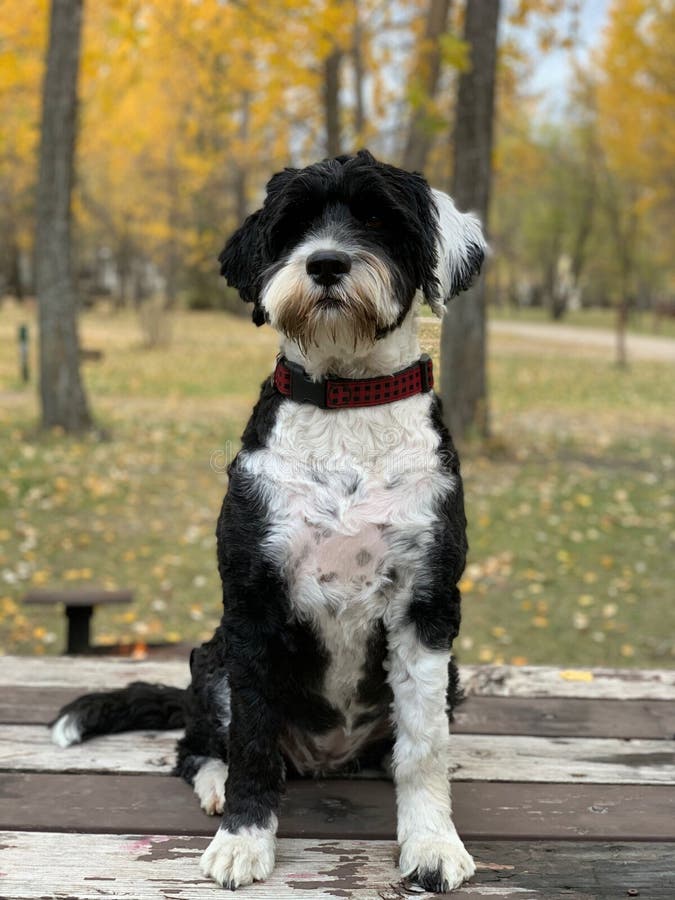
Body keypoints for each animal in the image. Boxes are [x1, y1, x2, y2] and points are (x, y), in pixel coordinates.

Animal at [52, 149, 486, 892]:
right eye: (294, 225)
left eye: (379, 220)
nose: (327, 263)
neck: (344, 405)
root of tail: (323, 758)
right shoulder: (254, 603)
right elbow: (251, 740)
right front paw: (244, 840)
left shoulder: (427, 609)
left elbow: (425, 746)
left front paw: (431, 841)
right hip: (213, 659)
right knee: (197, 746)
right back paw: (216, 784)